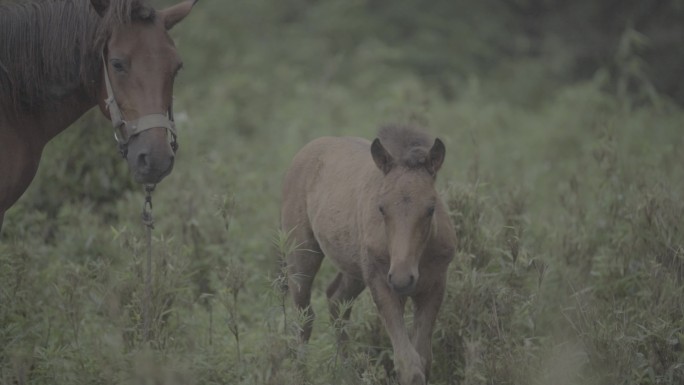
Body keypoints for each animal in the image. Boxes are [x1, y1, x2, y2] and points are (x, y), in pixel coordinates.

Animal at [280, 125, 456, 380]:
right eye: (381, 208)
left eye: (431, 208)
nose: (403, 279)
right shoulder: (382, 284)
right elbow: (408, 362)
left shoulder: (435, 286)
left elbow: (423, 359)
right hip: (302, 254)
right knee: (305, 316)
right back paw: (301, 374)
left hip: (355, 268)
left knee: (336, 300)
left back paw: (347, 371)